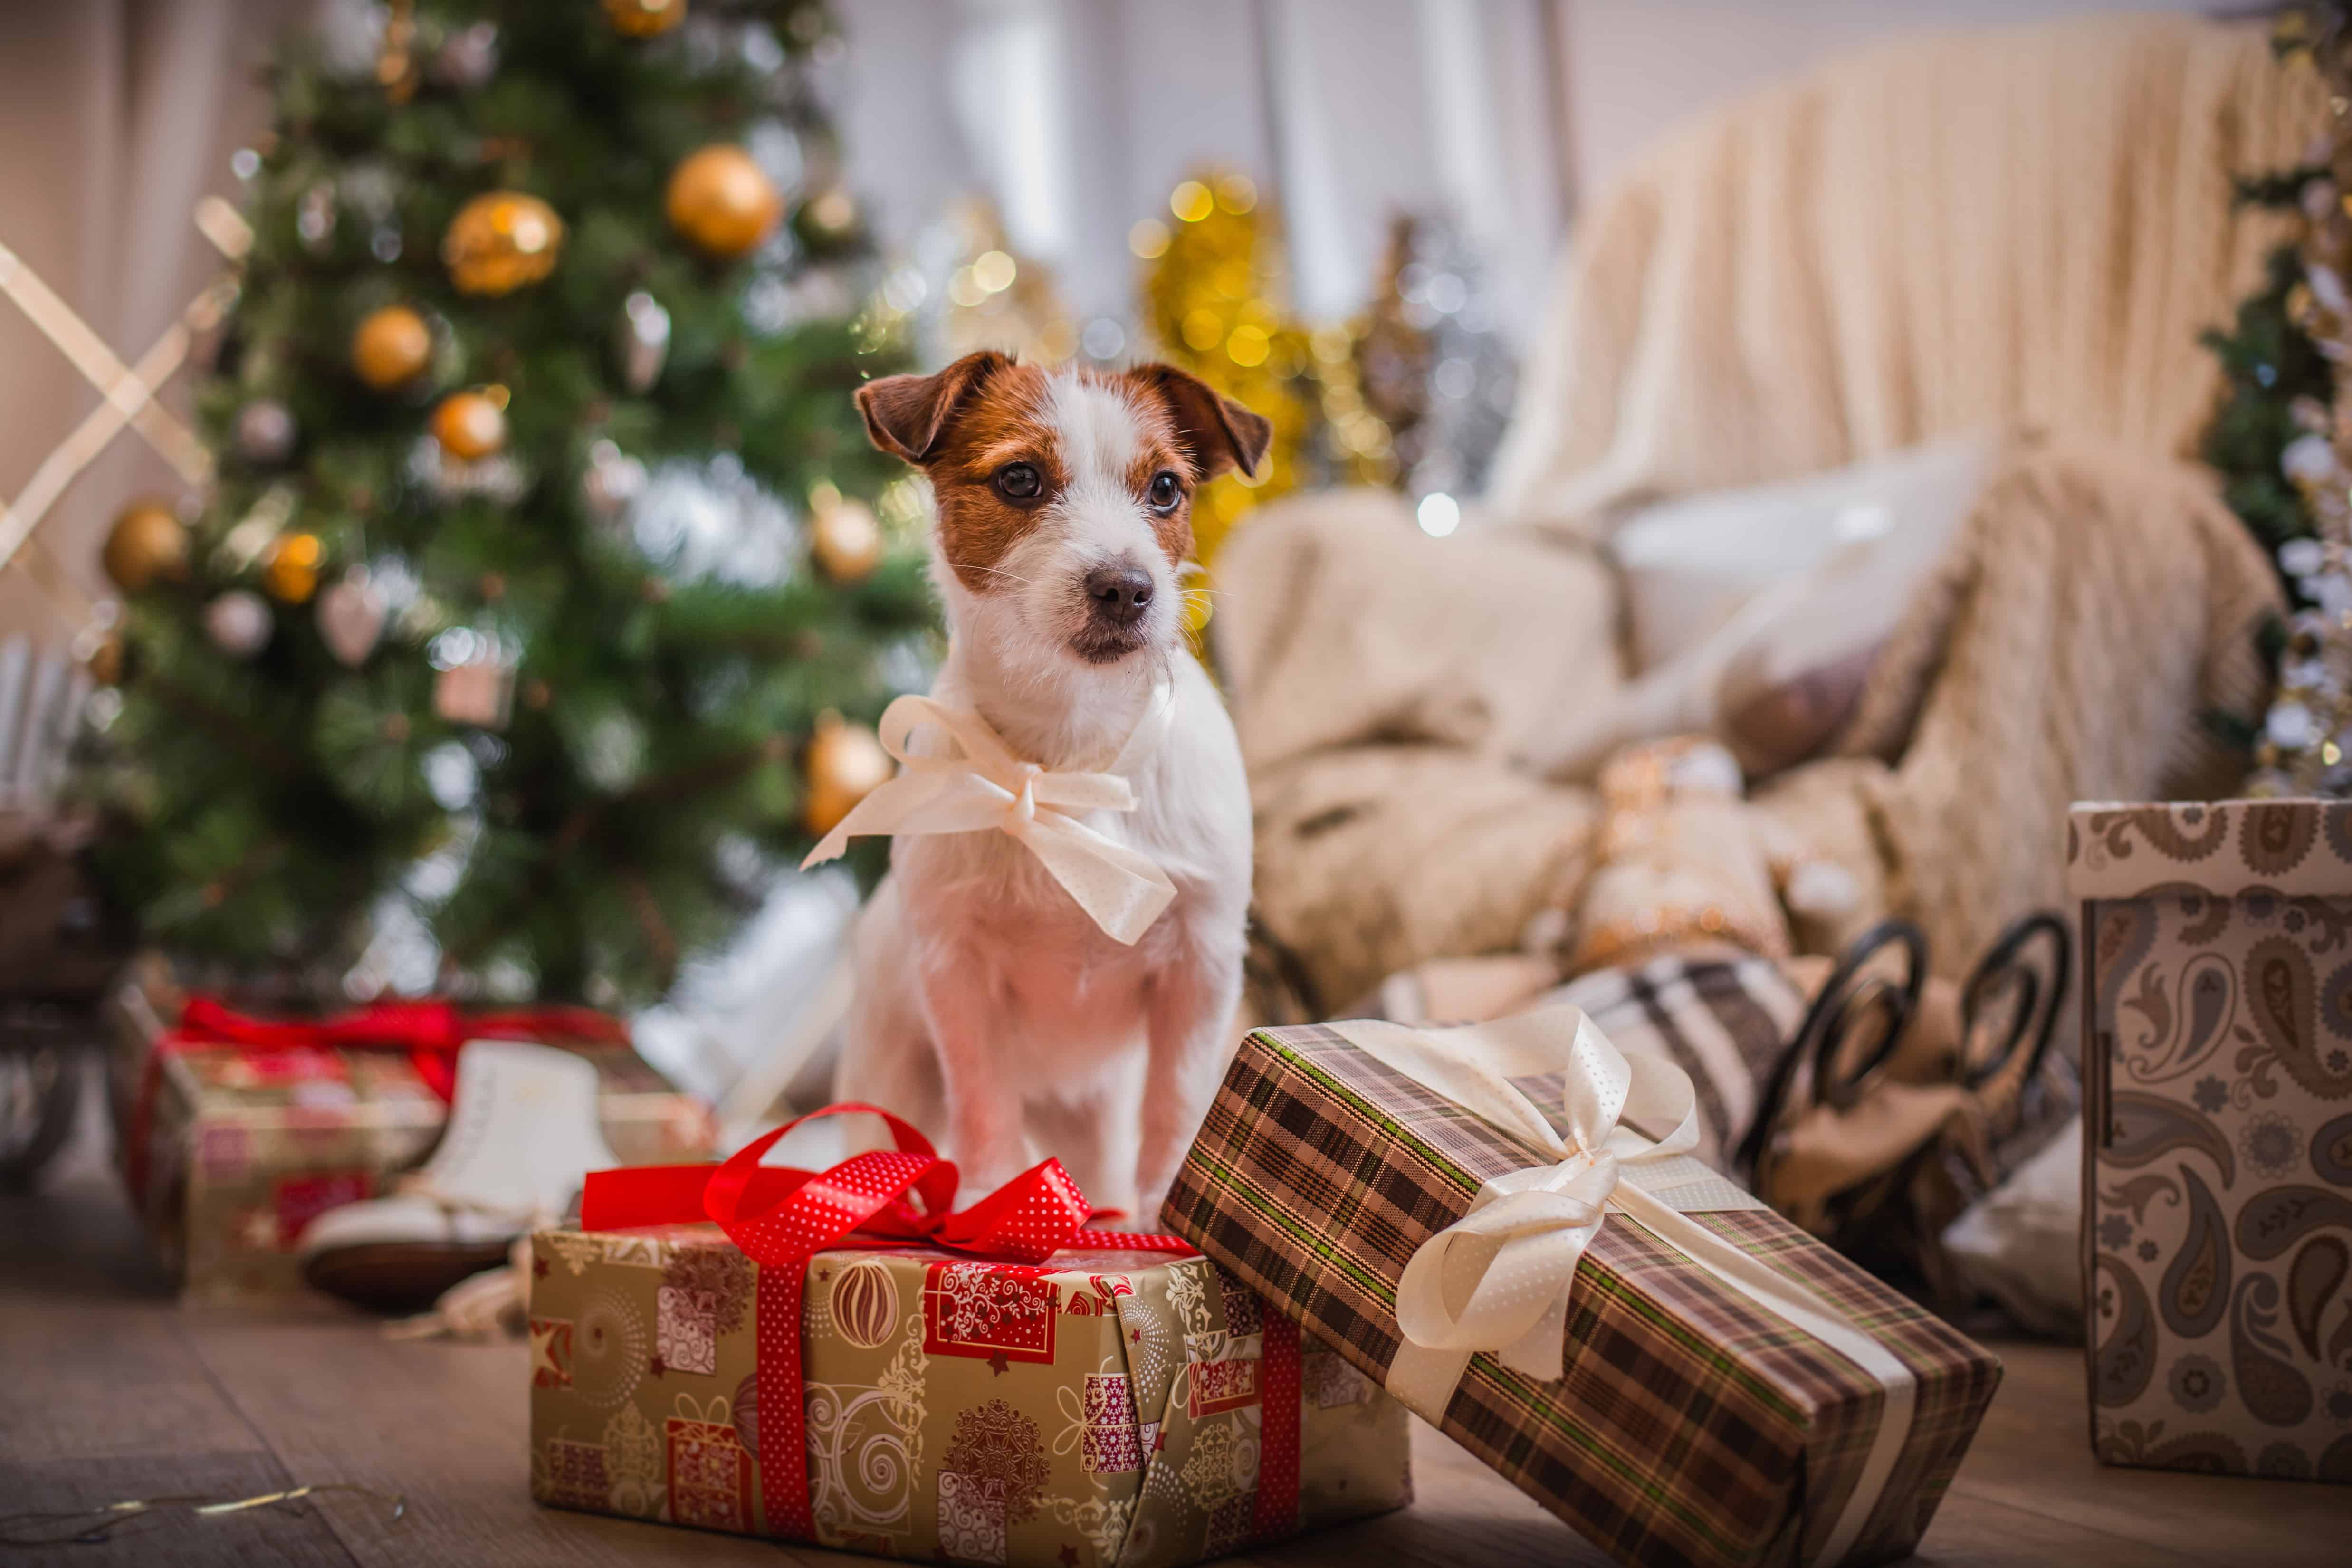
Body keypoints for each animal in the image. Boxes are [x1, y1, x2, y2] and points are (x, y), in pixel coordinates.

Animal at [828, 350, 1270, 1222]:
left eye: (1165, 488)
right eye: (1021, 480)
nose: (1127, 587)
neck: (1073, 765)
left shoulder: (1200, 966)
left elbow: (1176, 1103)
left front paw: (1164, 1210)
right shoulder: (957, 973)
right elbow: (982, 1101)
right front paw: (995, 1197)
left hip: (1094, 1106)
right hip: (890, 1067)